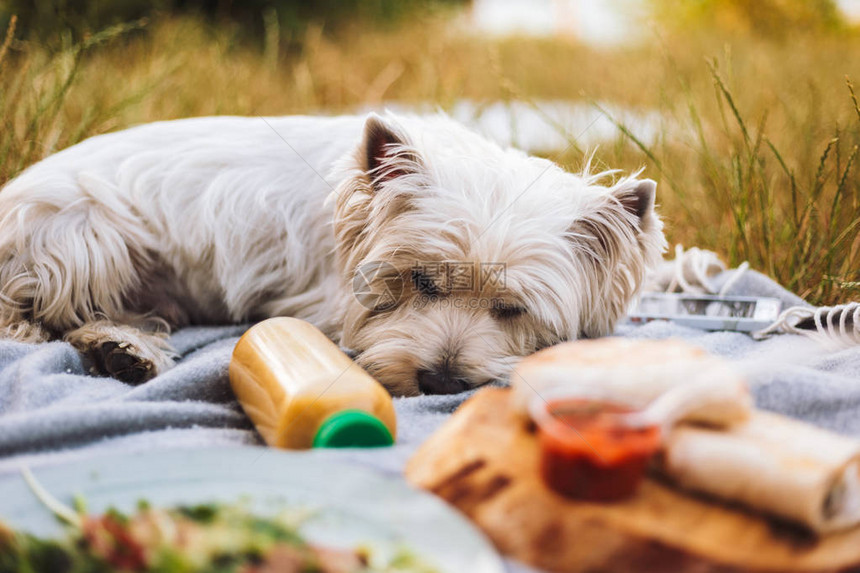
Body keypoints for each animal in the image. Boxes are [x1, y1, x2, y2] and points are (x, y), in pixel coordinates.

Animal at [0, 114, 664, 396]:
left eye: (512, 309)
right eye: (420, 282)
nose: (441, 380)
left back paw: (124, 349)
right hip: (85, 232)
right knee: (40, 313)